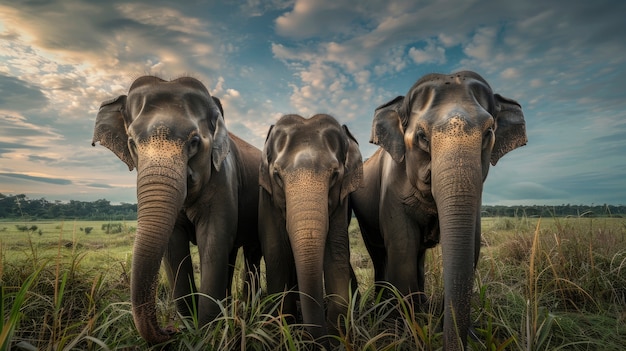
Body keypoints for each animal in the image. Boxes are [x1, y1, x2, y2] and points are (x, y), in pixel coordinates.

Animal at [90, 75, 260, 346]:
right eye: (132, 143)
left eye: (194, 142)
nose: (169, 330)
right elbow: (173, 247)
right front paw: (190, 328)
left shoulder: (224, 178)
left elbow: (213, 240)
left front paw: (206, 335)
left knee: (251, 252)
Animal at [258, 114, 364, 346]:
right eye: (277, 175)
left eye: (334, 175)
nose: (316, 342)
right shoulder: (267, 196)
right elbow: (276, 252)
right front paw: (281, 332)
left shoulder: (341, 201)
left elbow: (336, 252)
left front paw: (337, 338)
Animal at [348, 70, 524, 350]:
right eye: (421, 136)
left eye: (489, 132)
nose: (447, 340)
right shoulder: (391, 190)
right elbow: (403, 247)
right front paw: (402, 334)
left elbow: (472, 246)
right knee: (381, 254)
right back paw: (385, 310)